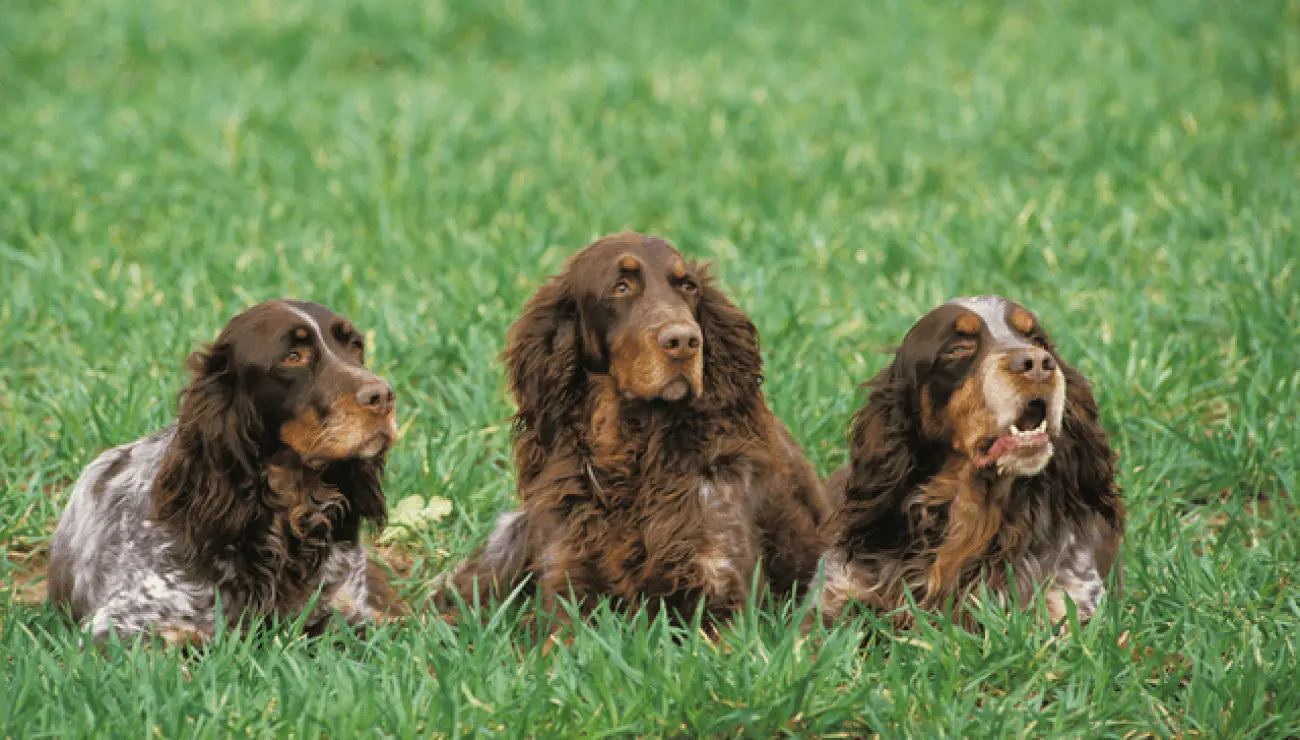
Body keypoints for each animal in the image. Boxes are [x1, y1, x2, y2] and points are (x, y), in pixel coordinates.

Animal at [431, 231, 826, 624]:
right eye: (621, 287)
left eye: (689, 286)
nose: (685, 341)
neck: (634, 452)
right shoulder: (567, 586)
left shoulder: (723, 590)